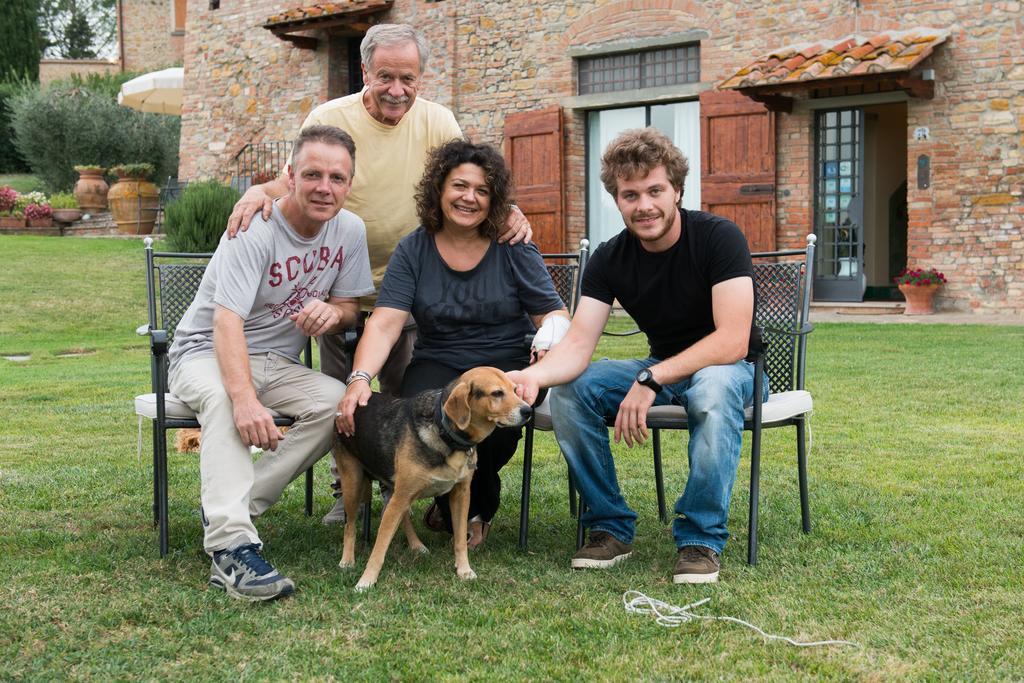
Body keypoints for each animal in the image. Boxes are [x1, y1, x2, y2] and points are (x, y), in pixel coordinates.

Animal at [335, 366, 532, 589]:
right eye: (497, 393)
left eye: (515, 389)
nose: (528, 411)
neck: (445, 431)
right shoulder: (402, 496)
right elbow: (379, 547)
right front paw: (366, 581)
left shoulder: (460, 495)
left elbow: (460, 540)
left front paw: (464, 570)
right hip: (354, 484)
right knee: (350, 525)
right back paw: (347, 560)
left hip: (397, 491)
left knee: (400, 516)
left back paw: (416, 545)